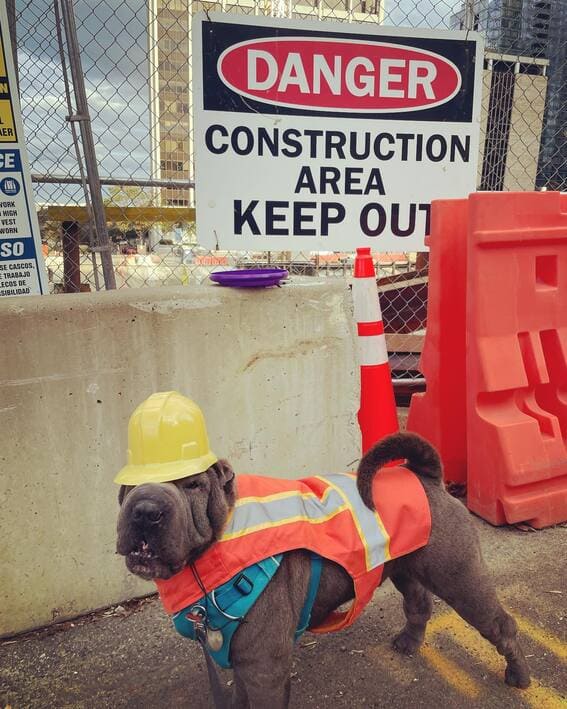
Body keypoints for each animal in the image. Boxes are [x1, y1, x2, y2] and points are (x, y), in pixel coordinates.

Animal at [116, 432, 532, 708]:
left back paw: (519, 675)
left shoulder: (264, 668)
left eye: (193, 485)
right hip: (404, 566)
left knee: (501, 625)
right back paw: (409, 642)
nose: (146, 511)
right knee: (418, 604)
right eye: (127, 487)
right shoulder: (243, 662)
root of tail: (423, 475)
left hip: (461, 580)